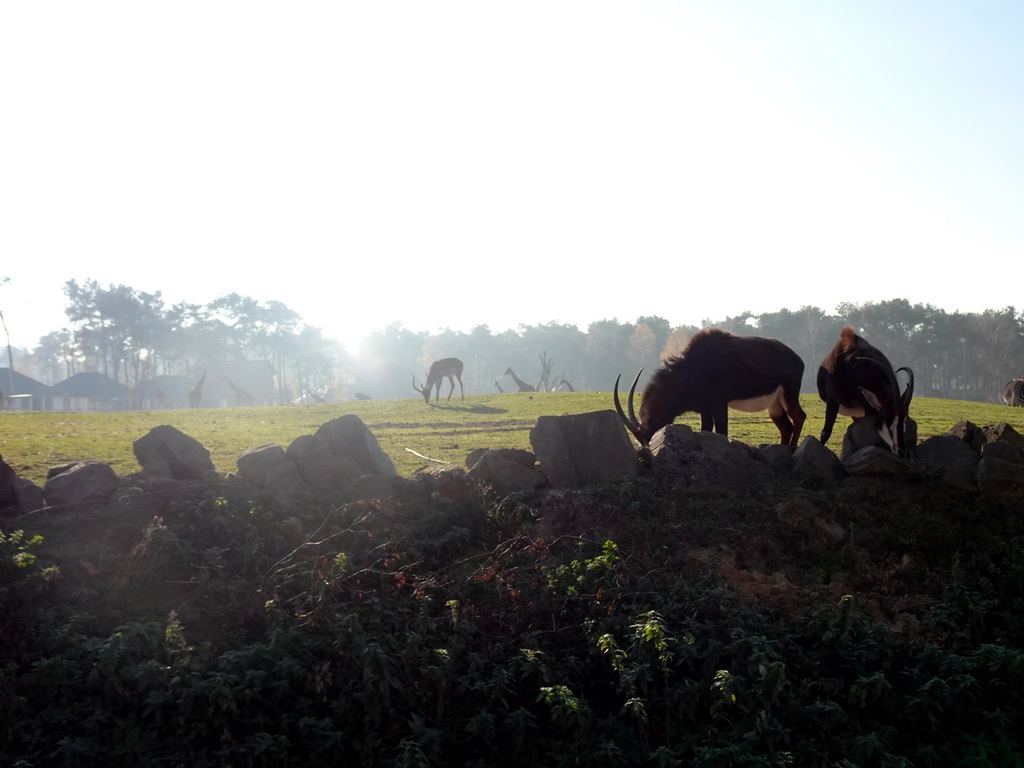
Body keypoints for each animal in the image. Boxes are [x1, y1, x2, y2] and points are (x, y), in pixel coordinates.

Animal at [614, 329, 806, 448]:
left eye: (648, 427)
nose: (645, 449)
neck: (690, 369)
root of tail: (797, 359)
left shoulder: (719, 404)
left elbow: (722, 431)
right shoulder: (705, 409)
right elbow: (706, 430)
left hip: (789, 394)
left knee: (799, 416)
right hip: (774, 405)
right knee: (786, 427)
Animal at [815, 325, 921, 456]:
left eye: (905, 420)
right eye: (888, 418)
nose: (902, 451)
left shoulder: (867, 409)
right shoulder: (832, 401)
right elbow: (825, 432)